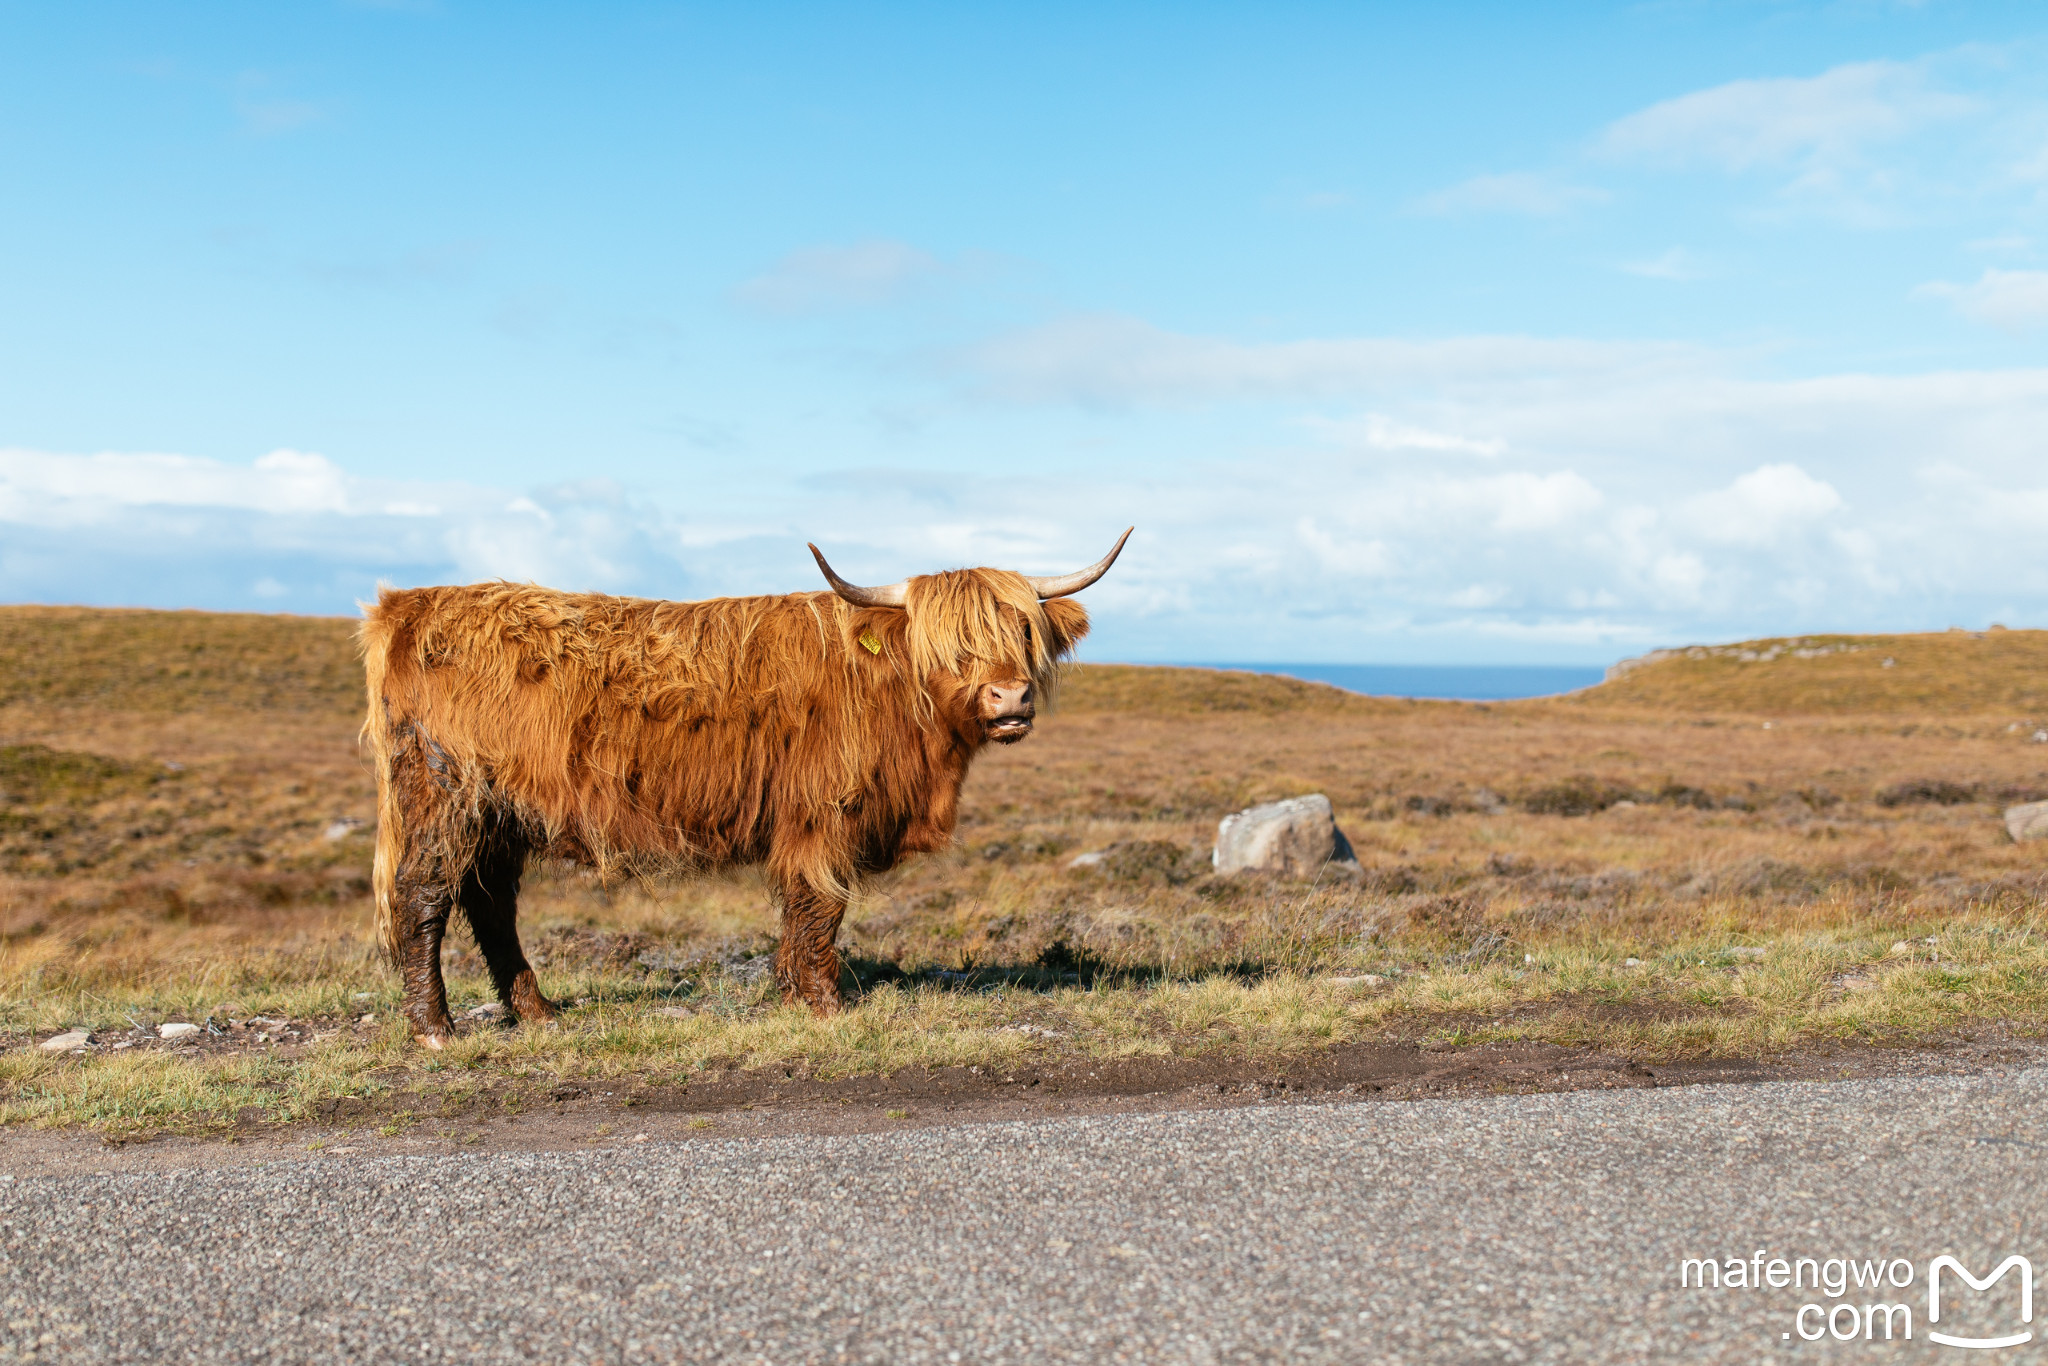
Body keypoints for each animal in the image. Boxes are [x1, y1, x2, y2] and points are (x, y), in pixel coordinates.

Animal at [358, 532, 1130, 1048]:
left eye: (1023, 630)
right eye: (949, 645)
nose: (1010, 698)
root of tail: (409, 605)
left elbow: (798, 910)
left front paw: (790, 995)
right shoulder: (824, 816)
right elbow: (821, 907)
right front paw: (824, 1004)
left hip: (503, 813)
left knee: (490, 904)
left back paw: (538, 1012)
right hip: (444, 792)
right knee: (424, 895)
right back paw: (436, 1028)